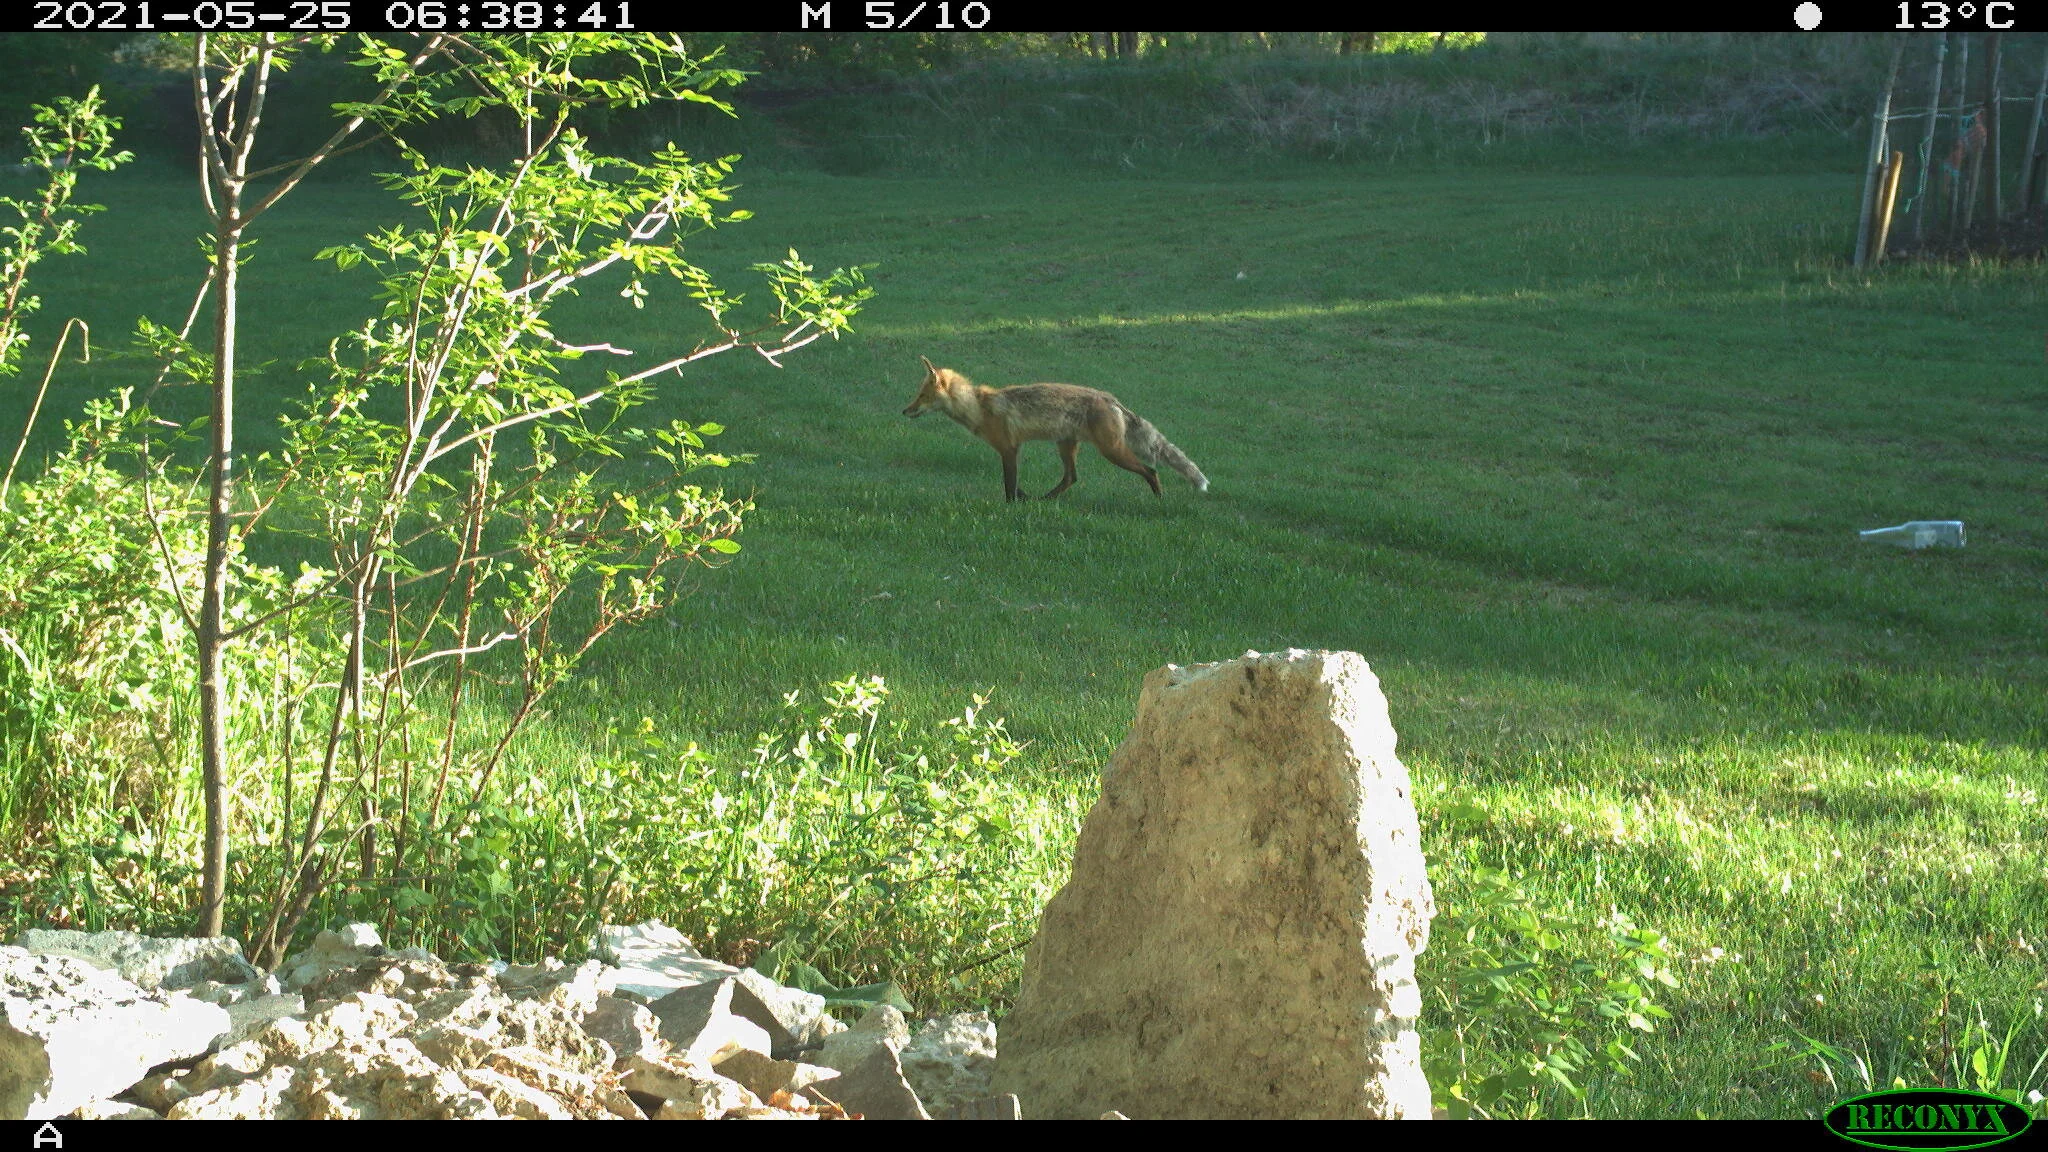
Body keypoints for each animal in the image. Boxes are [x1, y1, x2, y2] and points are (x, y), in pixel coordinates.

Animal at [901, 356, 1210, 503]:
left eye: (922, 396)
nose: (904, 411)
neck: (980, 407)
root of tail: (1110, 398)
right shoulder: (1010, 450)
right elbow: (1015, 484)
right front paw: (1023, 498)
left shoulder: (1009, 448)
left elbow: (1009, 484)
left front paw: (1011, 506)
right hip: (1066, 445)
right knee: (1071, 478)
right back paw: (1044, 499)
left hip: (1112, 451)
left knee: (1151, 470)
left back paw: (1159, 499)